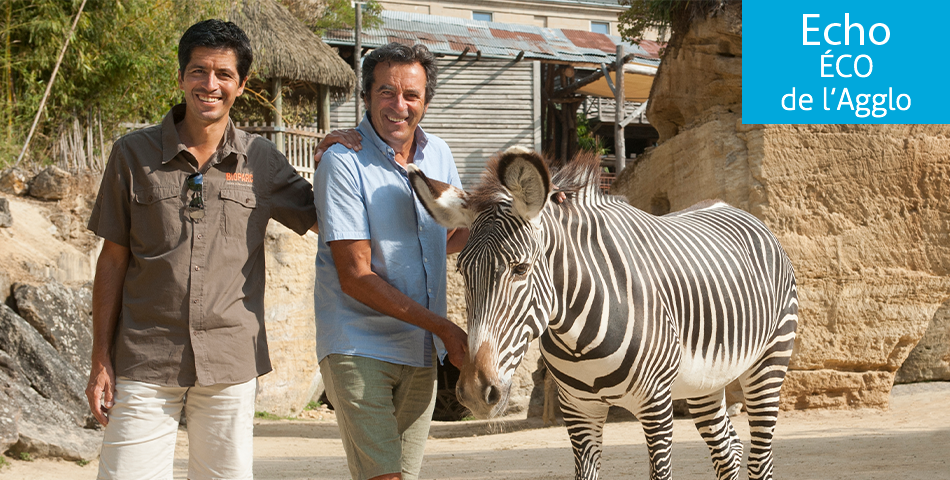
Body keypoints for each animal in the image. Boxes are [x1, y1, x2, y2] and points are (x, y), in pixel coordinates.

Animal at [410, 147, 804, 480]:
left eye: (520, 269)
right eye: (461, 271)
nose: (476, 392)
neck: (576, 337)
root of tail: (731, 207)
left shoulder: (656, 404)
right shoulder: (578, 410)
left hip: (769, 361)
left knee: (760, 458)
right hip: (705, 380)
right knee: (729, 450)